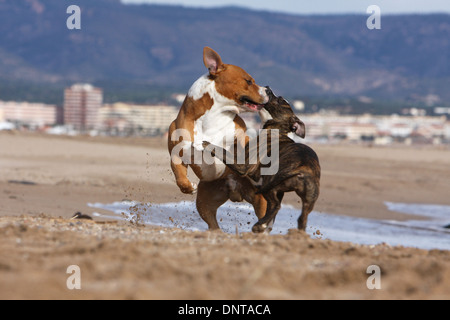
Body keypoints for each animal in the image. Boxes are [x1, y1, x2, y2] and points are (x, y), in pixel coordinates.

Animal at [168, 46, 268, 229]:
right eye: (249, 81)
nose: (267, 90)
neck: (213, 117)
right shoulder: (178, 152)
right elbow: (179, 176)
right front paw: (188, 187)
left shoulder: (240, 136)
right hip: (205, 202)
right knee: (212, 223)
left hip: (260, 200)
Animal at [204, 87, 320, 232]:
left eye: (280, 100)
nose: (268, 88)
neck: (278, 130)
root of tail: (303, 169)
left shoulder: (243, 165)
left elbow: (223, 151)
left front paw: (207, 144)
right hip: (306, 198)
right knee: (300, 217)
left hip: (270, 184)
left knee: (276, 205)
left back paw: (260, 225)